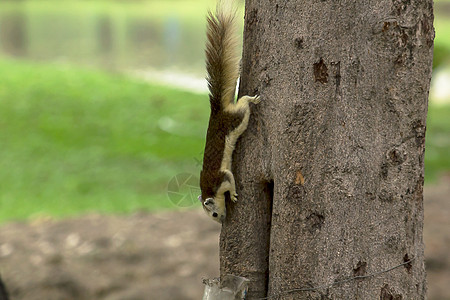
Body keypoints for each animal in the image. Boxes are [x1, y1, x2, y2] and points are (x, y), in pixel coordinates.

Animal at [198, 1, 260, 223]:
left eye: (215, 213)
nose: (222, 220)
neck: (209, 189)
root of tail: (218, 111)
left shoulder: (221, 178)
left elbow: (230, 179)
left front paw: (232, 195)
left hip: (237, 119)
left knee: (243, 105)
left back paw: (252, 99)